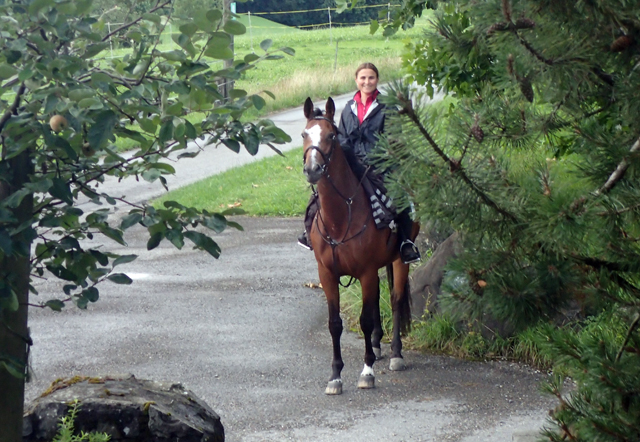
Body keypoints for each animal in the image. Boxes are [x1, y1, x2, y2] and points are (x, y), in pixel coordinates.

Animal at [302, 96, 418, 394]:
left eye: (331, 135)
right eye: (304, 134)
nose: (312, 169)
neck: (341, 216)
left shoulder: (365, 271)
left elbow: (365, 320)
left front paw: (367, 372)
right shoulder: (327, 274)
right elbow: (335, 323)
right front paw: (335, 376)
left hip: (399, 259)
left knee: (395, 299)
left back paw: (395, 354)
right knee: (377, 302)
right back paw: (376, 346)